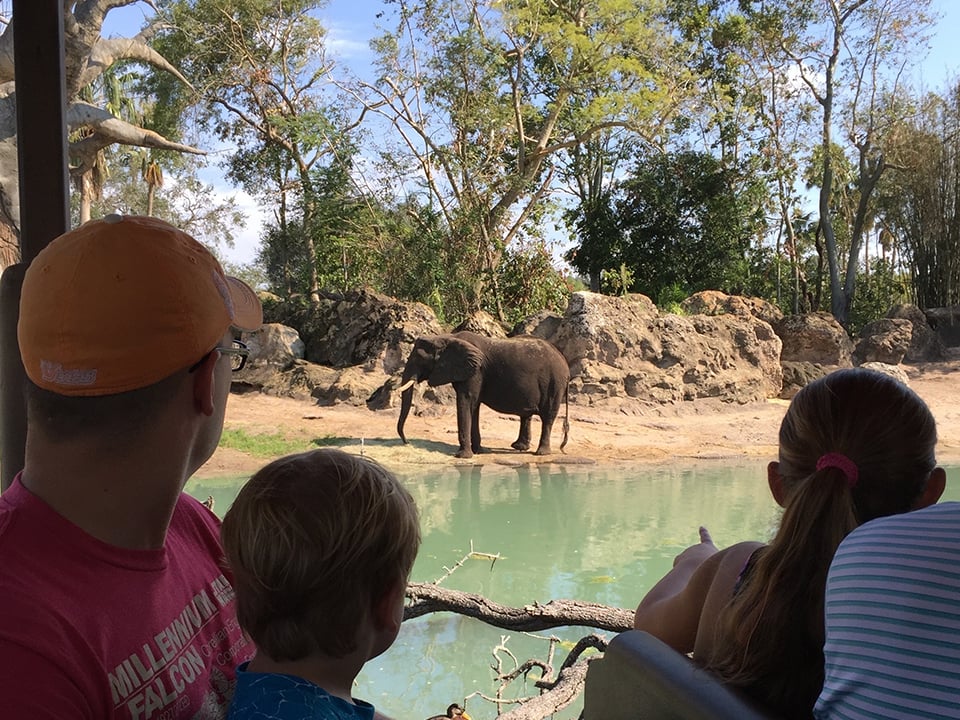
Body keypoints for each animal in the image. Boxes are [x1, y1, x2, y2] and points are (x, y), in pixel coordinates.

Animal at [396, 331, 570, 459]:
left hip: (554, 384)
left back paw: (541, 453)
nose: (407, 442)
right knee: (526, 415)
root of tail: (564, 362)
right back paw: (519, 447)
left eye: (419, 359)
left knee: (548, 416)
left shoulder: (475, 372)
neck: (445, 337)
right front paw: (479, 451)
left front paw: (463, 456)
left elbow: (467, 401)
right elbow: (474, 405)